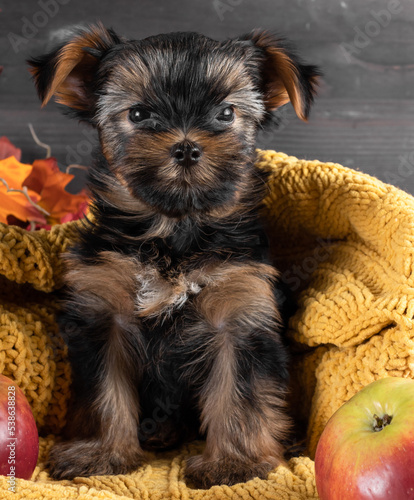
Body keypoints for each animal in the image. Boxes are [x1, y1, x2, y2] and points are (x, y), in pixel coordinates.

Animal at [29, 23, 318, 488]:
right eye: (139, 115)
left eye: (226, 114)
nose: (185, 147)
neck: (174, 233)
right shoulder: (104, 312)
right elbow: (104, 390)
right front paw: (101, 453)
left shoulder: (240, 311)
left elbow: (239, 392)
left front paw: (234, 464)